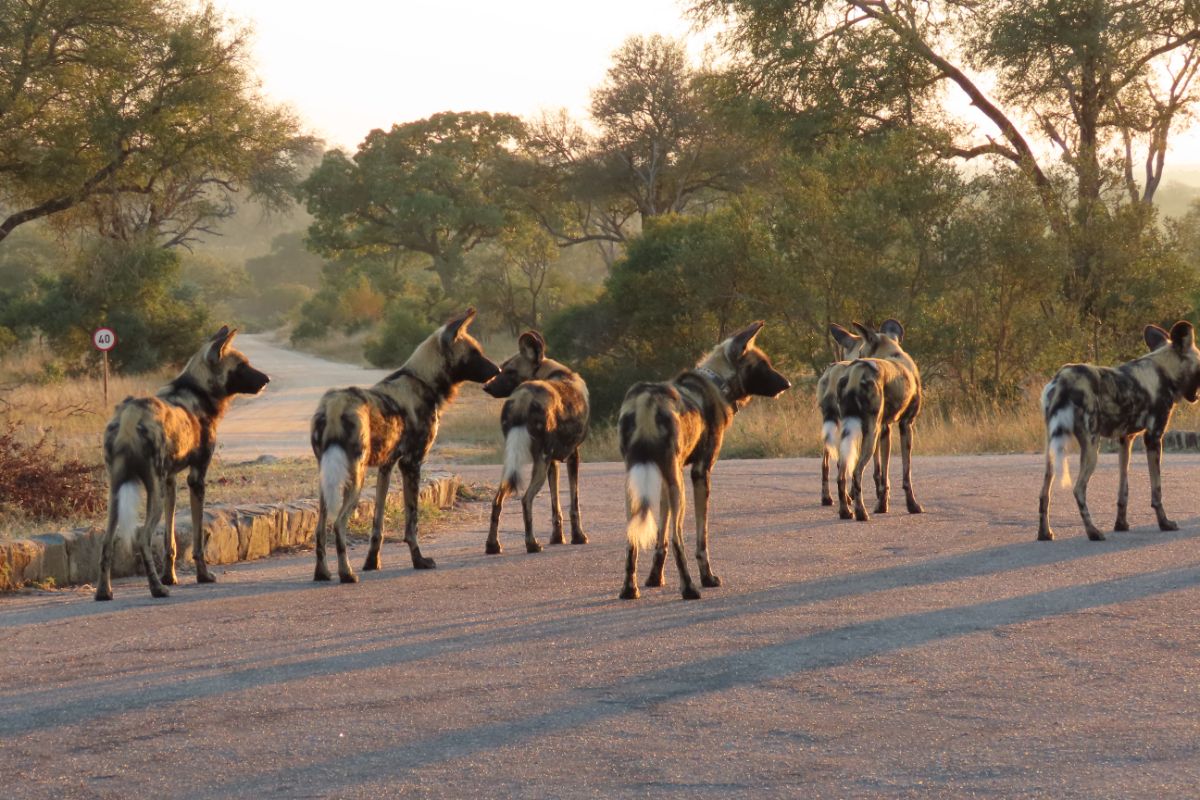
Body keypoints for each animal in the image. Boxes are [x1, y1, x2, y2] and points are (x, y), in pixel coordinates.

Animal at [96, 326, 270, 599]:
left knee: (106, 541)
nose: (266, 380)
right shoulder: (196, 479)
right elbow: (198, 540)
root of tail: (129, 414)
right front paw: (202, 576)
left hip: (117, 493)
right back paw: (156, 588)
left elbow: (170, 540)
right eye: (242, 366)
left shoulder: (170, 482)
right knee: (143, 538)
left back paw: (104, 591)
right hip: (153, 494)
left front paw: (170, 576)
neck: (199, 391)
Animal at [312, 309, 499, 582]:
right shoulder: (412, 464)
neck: (423, 380)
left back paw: (322, 573)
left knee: (319, 528)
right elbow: (412, 521)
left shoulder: (387, 466)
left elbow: (377, 523)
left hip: (327, 479)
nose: (497, 369)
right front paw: (419, 560)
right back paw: (346, 573)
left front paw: (372, 561)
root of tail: (335, 405)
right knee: (338, 524)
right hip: (355, 478)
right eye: (474, 353)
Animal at [480, 328, 588, 554]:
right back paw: (532, 544)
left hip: (514, 463)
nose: (486, 386)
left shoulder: (553, 462)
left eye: (508, 371)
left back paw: (493, 545)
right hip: (539, 462)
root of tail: (523, 396)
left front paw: (557, 537)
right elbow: (574, 504)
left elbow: (556, 505)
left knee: (497, 500)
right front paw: (578, 537)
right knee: (526, 498)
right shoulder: (573, 455)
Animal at [614, 321, 792, 597]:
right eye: (763, 365)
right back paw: (689, 589)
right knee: (678, 537)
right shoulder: (700, 472)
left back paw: (628, 589)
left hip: (638, 484)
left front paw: (654, 578)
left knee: (632, 535)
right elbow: (701, 537)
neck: (717, 384)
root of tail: (647, 400)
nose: (788, 383)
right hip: (680, 489)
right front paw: (708, 577)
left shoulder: (664, 480)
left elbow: (659, 539)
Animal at [1036, 321, 1200, 542]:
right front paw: (1164, 523)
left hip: (1053, 450)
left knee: (1044, 492)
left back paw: (1044, 533)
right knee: (1078, 489)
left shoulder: (1125, 439)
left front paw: (1121, 524)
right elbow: (1156, 490)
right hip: (1091, 447)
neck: (1163, 370)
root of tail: (1063, 378)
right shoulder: (1153, 438)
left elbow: (1123, 490)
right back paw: (1093, 532)